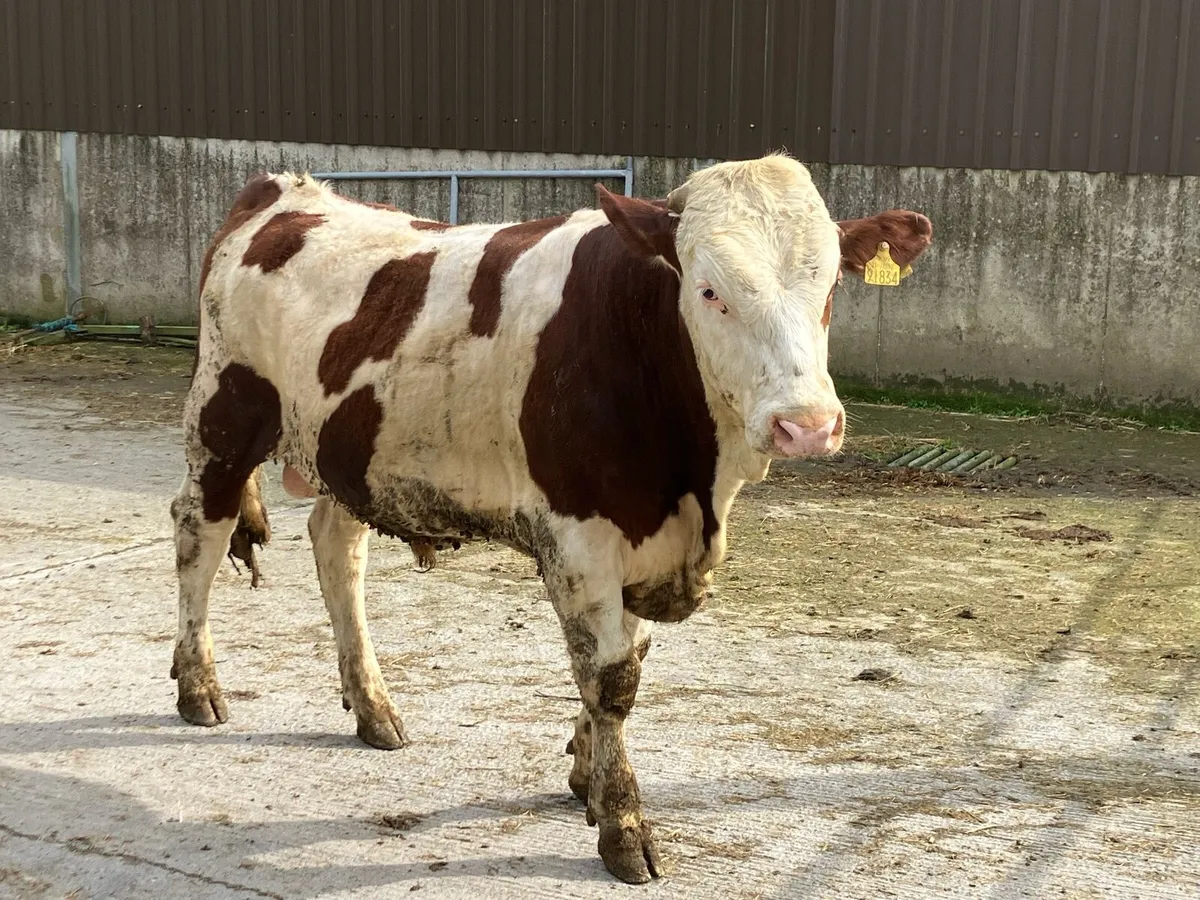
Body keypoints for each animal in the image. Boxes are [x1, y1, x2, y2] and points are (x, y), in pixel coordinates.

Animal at [169, 153, 932, 883]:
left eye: (830, 289)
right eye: (710, 291)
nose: (807, 425)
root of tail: (283, 190)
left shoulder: (646, 534)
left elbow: (630, 658)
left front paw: (586, 776)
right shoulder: (580, 534)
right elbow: (612, 681)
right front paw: (623, 827)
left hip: (349, 453)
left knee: (337, 551)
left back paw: (373, 706)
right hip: (224, 420)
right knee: (198, 536)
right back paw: (199, 685)